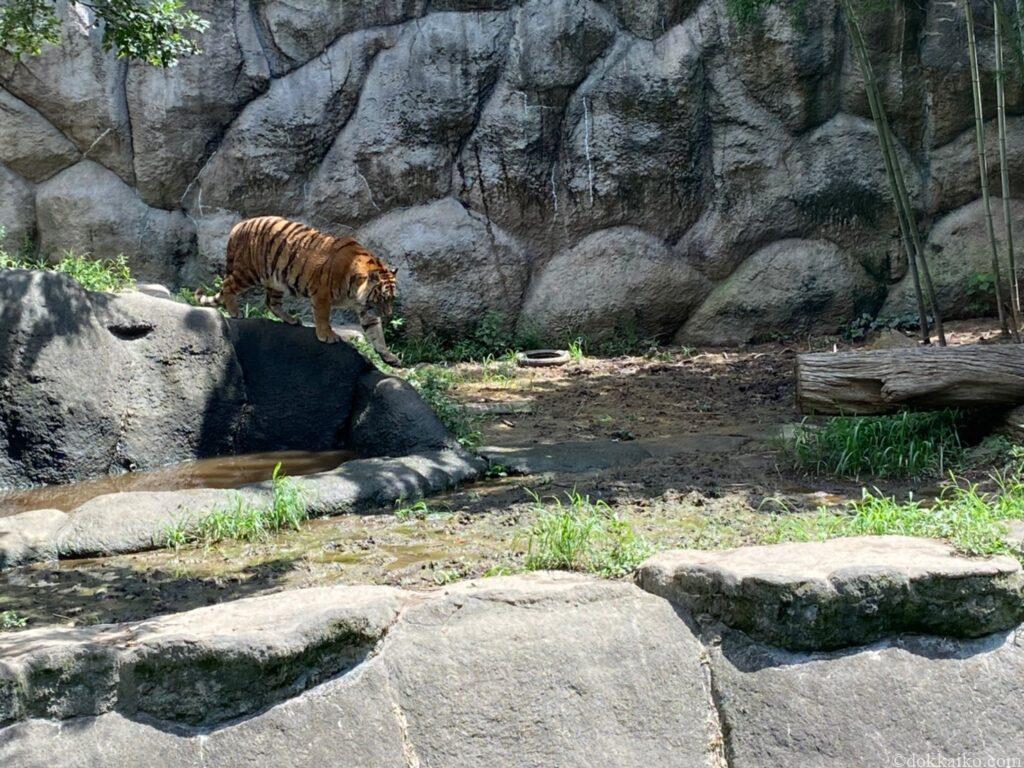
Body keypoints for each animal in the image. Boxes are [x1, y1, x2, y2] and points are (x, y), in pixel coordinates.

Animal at [193, 215, 401, 368]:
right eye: (382, 298)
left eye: (391, 299)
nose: (388, 314)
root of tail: (238, 226)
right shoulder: (322, 294)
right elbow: (323, 317)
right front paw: (327, 335)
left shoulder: (366, 308)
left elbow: (376, 333)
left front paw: (389, 357)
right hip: (248, 273)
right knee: (227, 286)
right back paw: (235, 312)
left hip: (276, 280)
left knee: (271, 303)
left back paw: (291, 319)